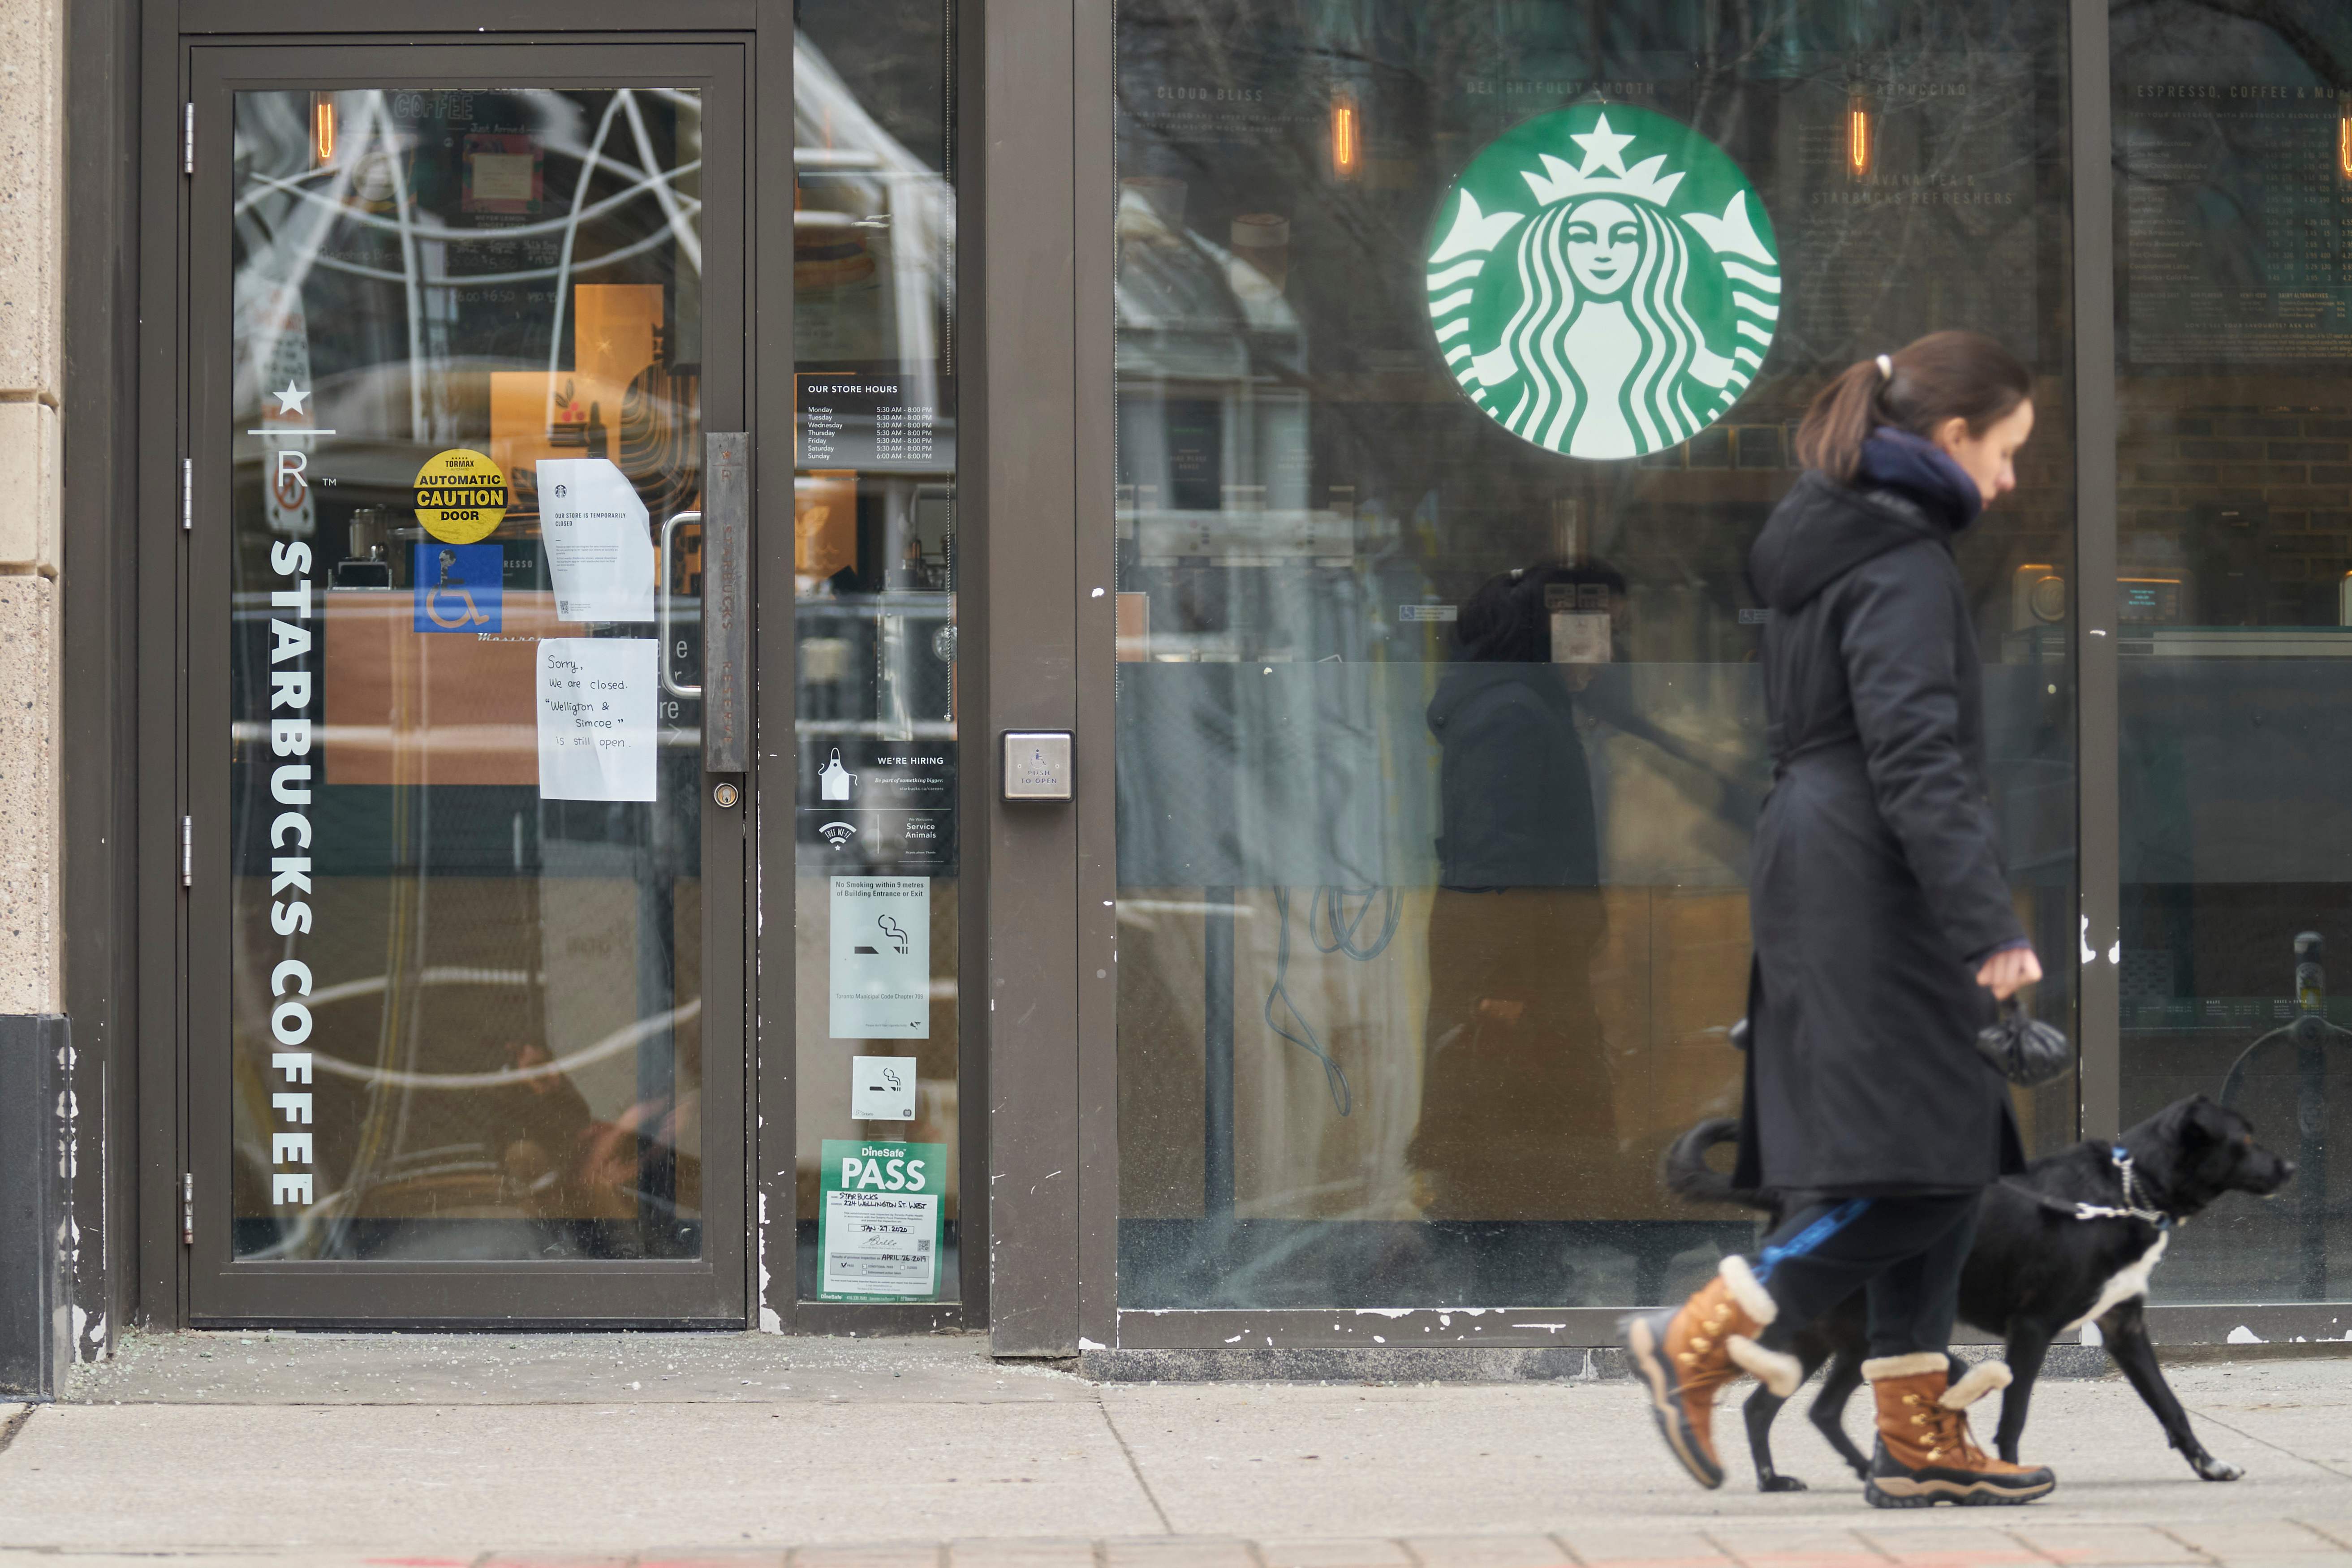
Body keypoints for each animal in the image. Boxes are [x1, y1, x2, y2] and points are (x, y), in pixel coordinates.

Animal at [1675, 1100, 2296, 1495]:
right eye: (2243, 1139)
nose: (2290, 1165)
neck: (2124, 1191)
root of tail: (1787, 1194)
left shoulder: (2126, 1329)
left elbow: (2170, 1406)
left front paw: (2209, 1465)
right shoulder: (2034, 1326)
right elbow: (2014, 1411)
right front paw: (2015, 1472)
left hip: (1846, 1338)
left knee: (1794, 1408)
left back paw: (1818, 1475)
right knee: (1781, 1404)